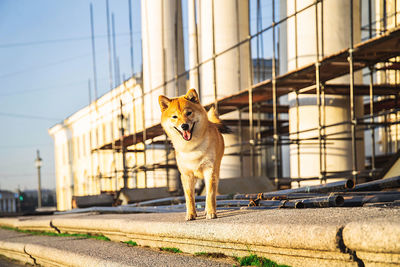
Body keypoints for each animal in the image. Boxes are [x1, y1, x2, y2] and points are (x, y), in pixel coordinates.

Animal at [159, 89, 230, 221]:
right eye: (174, 117)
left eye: (189, 113)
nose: (184, 126)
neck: (192, 148)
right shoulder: (186, 175)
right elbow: (189, 197)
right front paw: (191, 214)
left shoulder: (210, 170)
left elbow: (210, 194)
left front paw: (211, 212)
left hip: (215, 170)